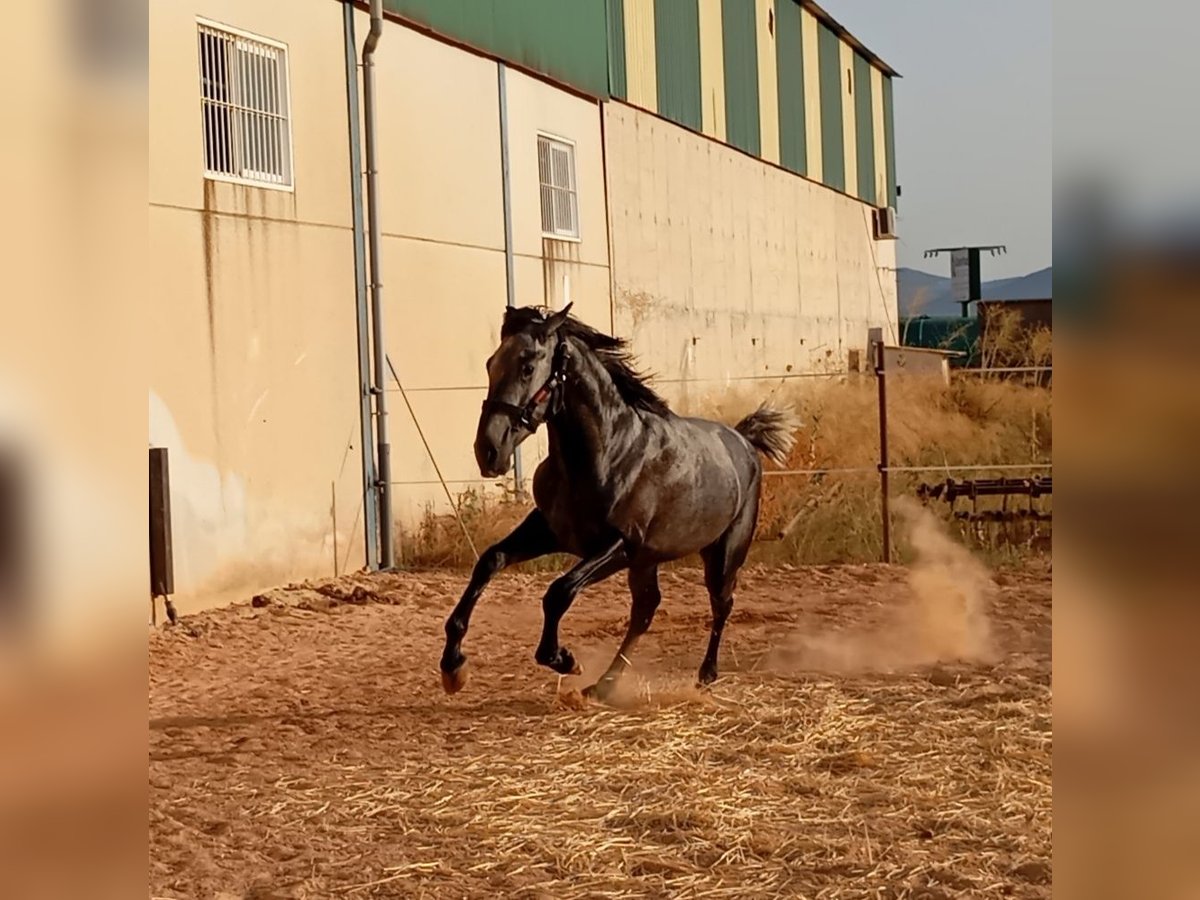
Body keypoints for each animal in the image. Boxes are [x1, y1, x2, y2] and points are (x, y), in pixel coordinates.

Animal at [441, 304, 796, 705]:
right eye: (490, 363)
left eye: (528, 366)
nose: (488, 451)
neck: (607, 454)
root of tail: (744, 440)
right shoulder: (550, 530)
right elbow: (491, 561)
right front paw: (453, 667)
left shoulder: (621, 545)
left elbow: (559, 591)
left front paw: (564, 659)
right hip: (648, 563)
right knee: (646, 609)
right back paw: (604, 685)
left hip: (723, 553)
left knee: (721, 603)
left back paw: (705, 675)